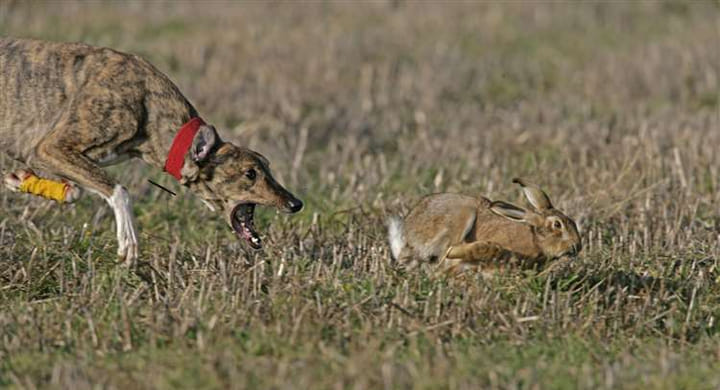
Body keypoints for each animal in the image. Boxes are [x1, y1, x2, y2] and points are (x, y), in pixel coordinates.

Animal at [0, 38, 304, 264]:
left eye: (266, 166)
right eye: (250, 173)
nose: (296, 203)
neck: (148, 103)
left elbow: (76, 192)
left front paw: (22, 181)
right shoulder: (51, 147)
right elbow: (119, 191)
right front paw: (129, 244)